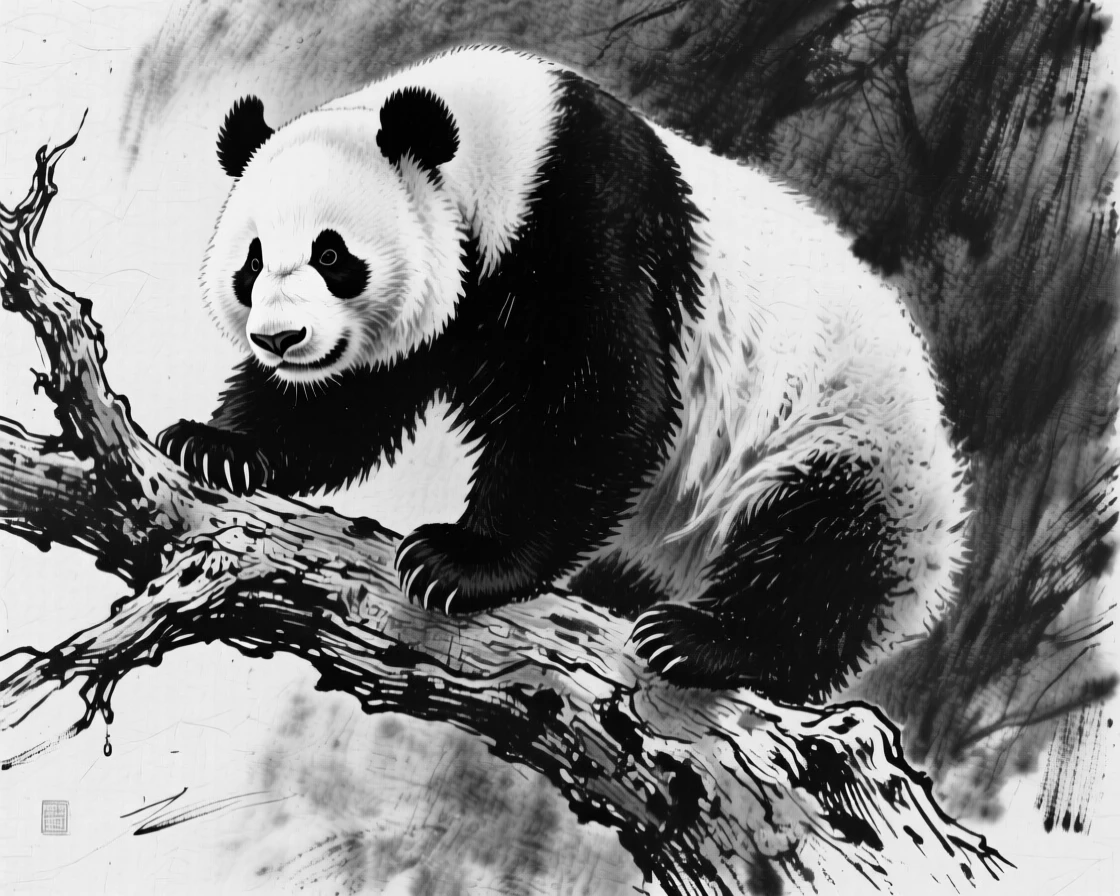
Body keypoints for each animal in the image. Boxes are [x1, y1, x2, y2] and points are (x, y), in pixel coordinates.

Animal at [158, 46, 969, 703]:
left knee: (819, 556)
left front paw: (458, 561)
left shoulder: (583, 220)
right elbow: (344, 403)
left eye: (331, 255)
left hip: (848, 439)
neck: (491, 144)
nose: (280, 338)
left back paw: (702, 640)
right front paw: (218, 445)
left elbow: (601, 405)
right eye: (251, 262)